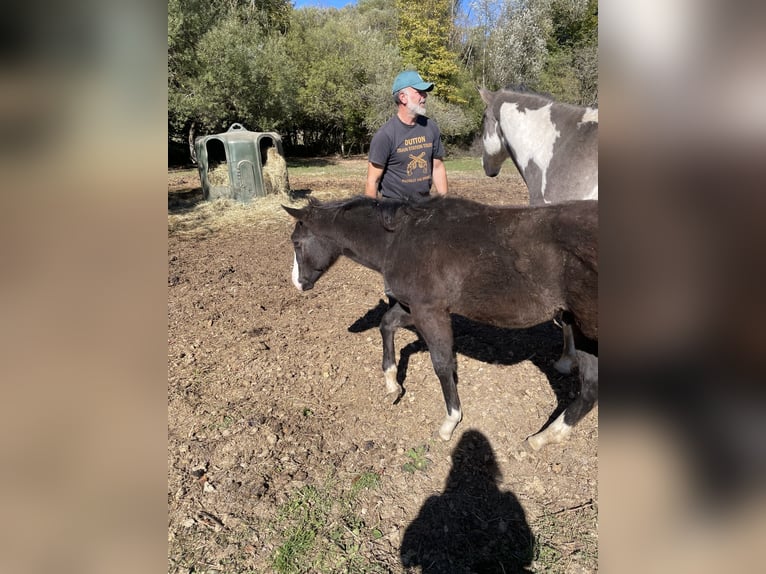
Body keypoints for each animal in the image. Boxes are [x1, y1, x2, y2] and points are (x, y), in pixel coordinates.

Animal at [283, 195, 598, 449]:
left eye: (296, 243)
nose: (297, 284)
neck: (398, 240)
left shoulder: (430, 312)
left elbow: (443, 364)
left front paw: (450, 422)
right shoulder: (414, 307)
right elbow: (387, 324)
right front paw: (392, 383)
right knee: (589, 389)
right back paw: (545, 437)